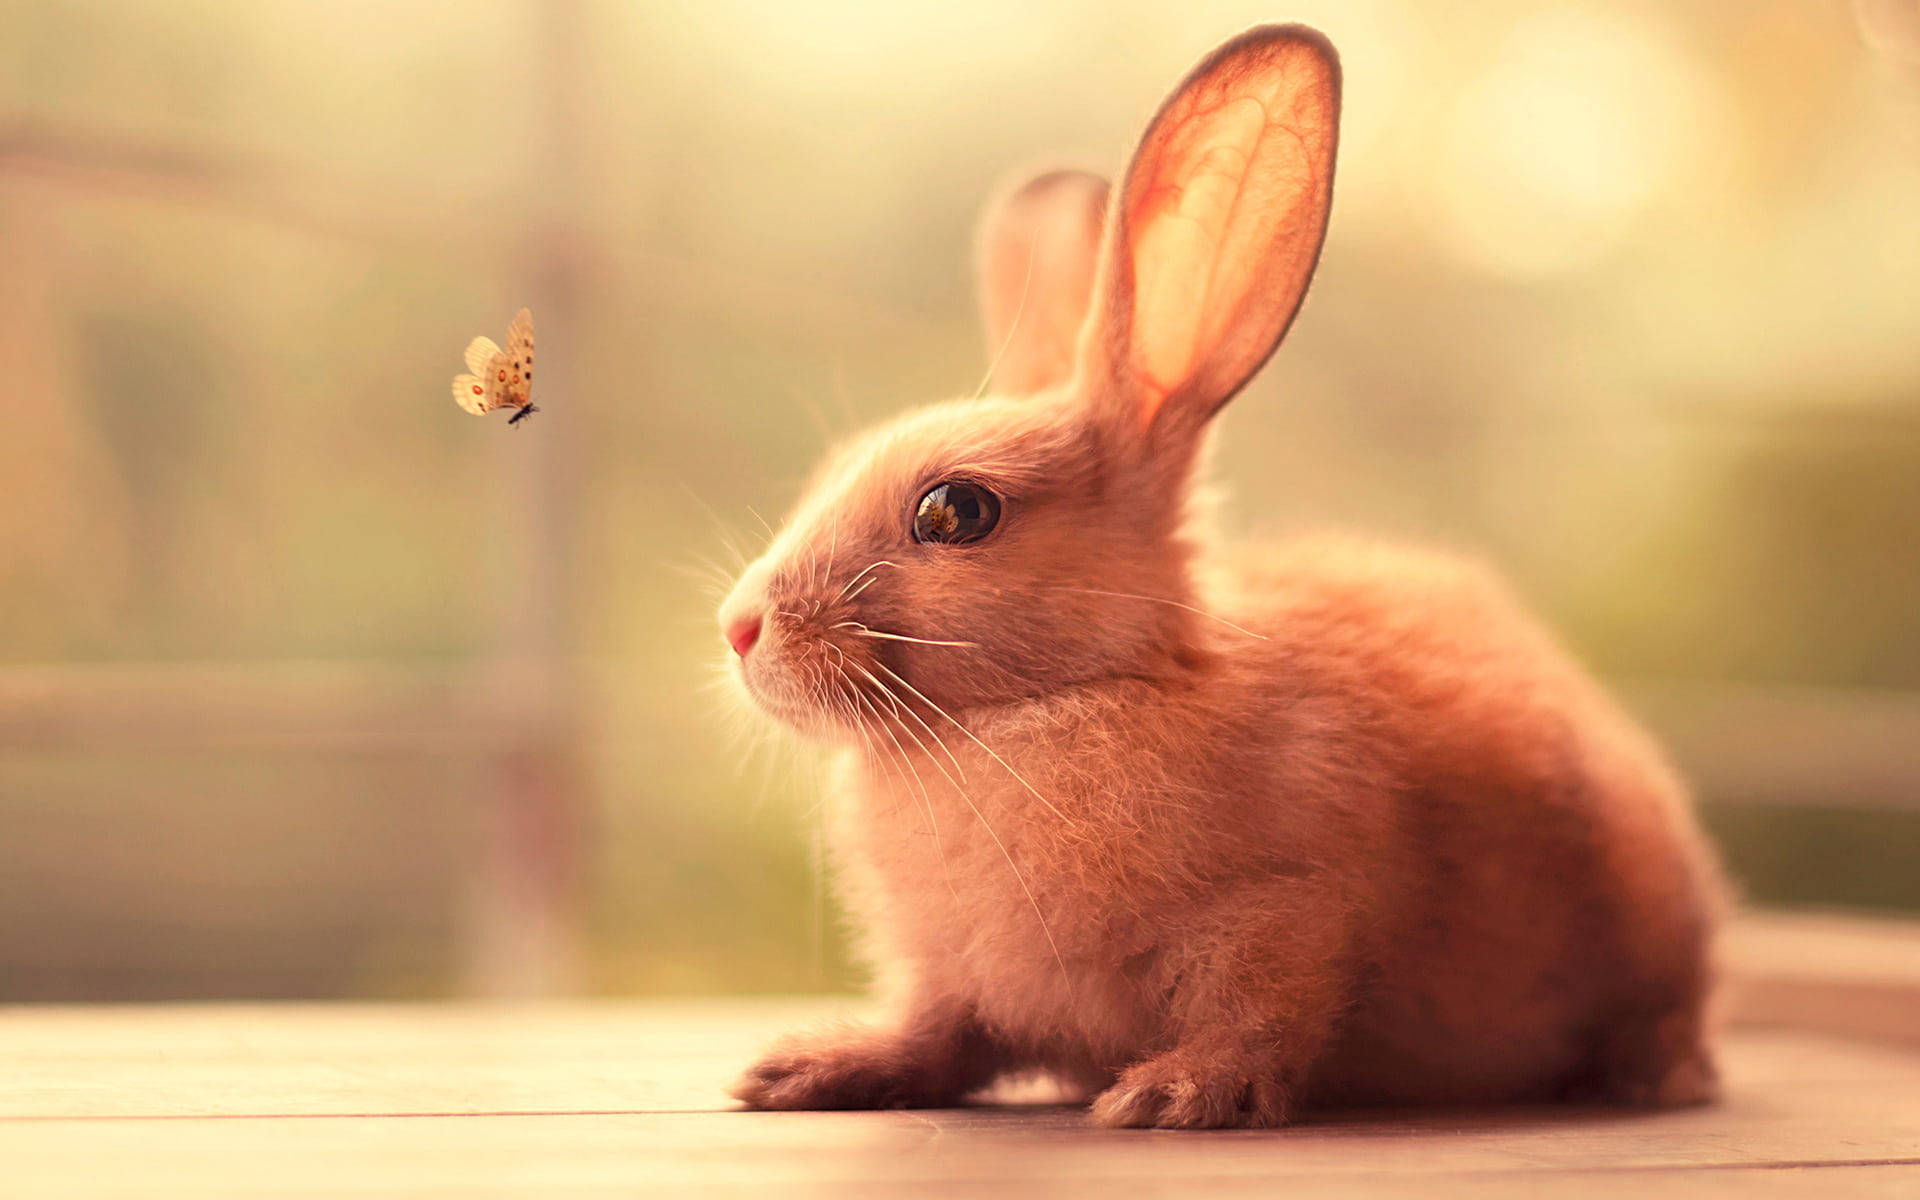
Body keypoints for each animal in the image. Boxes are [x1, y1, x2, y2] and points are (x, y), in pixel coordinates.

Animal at [715, 24, 1726, 1129]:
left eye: (956, 511)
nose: (740, 628)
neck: (1050, 703)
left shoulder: (1285, 917)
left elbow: (1259, 1020)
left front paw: (1170, 1095)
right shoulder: (953, 981)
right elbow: (936, 1036)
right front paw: (808, 1070)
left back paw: (1655, 1077)